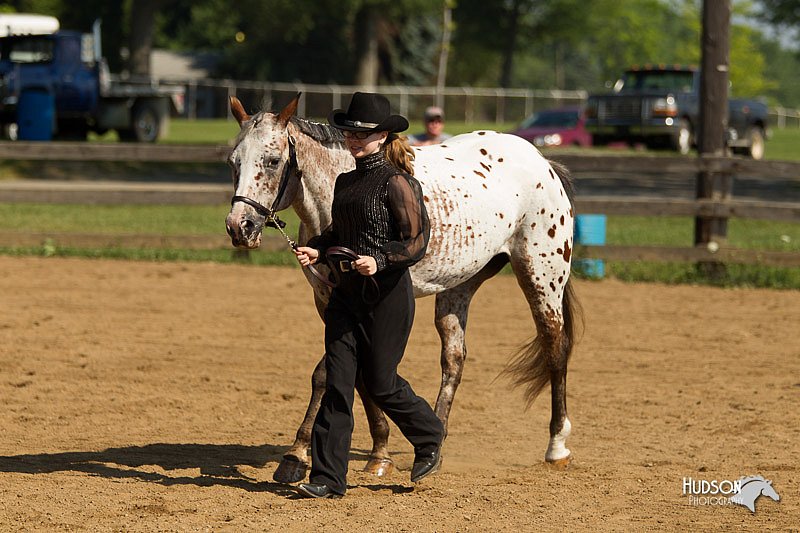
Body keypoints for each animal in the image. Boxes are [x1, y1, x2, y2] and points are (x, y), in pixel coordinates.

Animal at [225, 95, 580, 482]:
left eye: (273, 161)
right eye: (233, 161)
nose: (239, 227)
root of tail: (544, 163)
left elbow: (329, 373)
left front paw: (295, 455)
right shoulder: (329, 299)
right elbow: (355, 372)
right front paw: (379, 453)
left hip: (542, 275)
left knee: (555, 346)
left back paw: (557, 447)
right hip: (459, 286)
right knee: (454, 359)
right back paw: (435, 444)